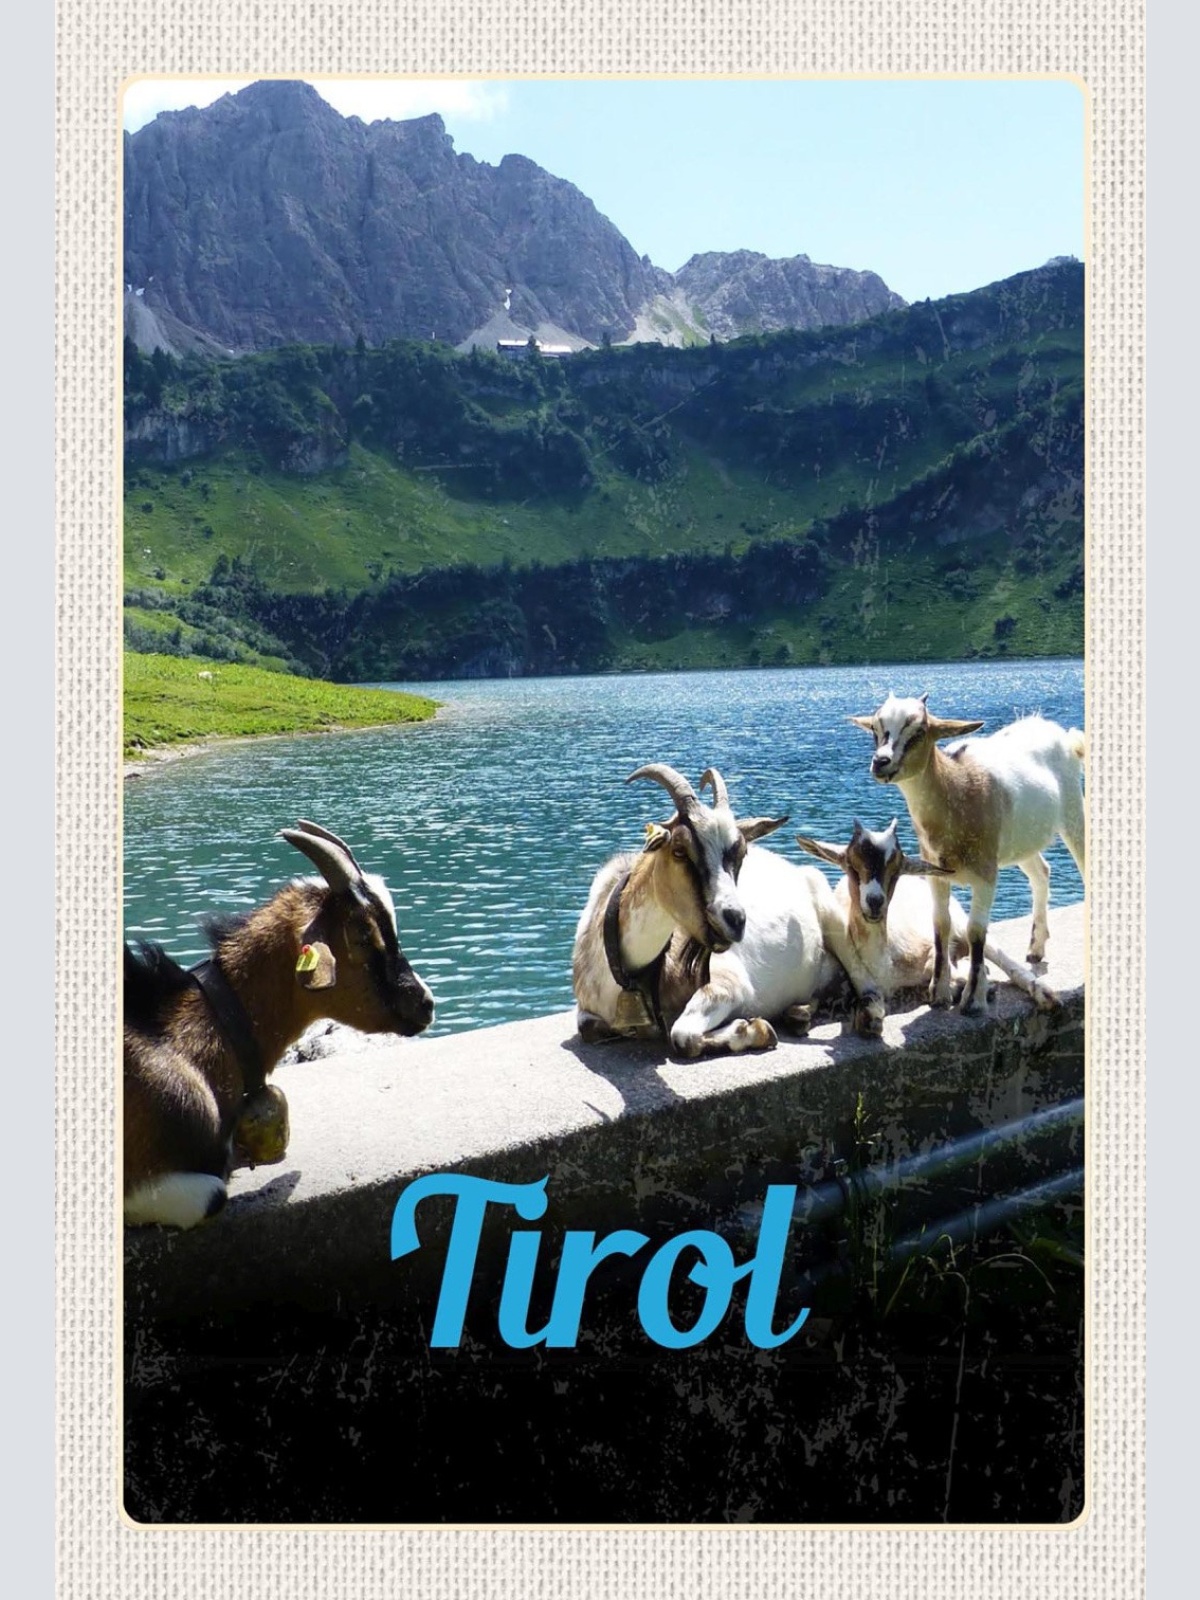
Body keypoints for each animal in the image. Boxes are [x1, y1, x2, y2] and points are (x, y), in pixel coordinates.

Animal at [796, 818, 1058, 1016]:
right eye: (851, 865)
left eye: (896, 870)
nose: (875, 901)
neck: (885, 965)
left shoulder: (928, 945)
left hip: (960, 920)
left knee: (1002, 958)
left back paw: (1044, 994)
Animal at [849, 693, 1086, 1013]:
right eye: (875, 729)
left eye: (919, 732)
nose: (881, 762)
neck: (955, 787)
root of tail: (1058, 732)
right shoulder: (935, 872)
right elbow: (941, 924)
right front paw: (938, 993)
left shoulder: (986, 873)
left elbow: (975, 931)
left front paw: (973, 999)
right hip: (1021, 840)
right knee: (1041, 872)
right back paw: (1036, 948)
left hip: (1073, 809)